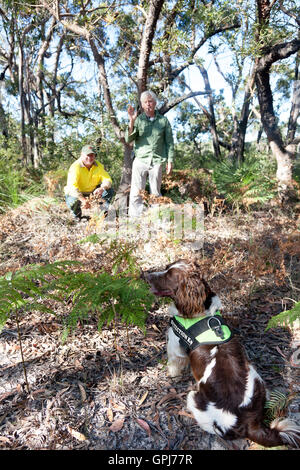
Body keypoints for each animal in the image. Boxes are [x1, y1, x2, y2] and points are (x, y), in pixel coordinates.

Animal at [142, 260, 300, 448]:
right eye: (167, 268)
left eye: (169, 275)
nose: (146, 275)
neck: (200, 308)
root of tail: (250, 422)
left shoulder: (175, 345)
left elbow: (174, 364)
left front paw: (172, 375)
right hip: (257, 378)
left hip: (194, 399)